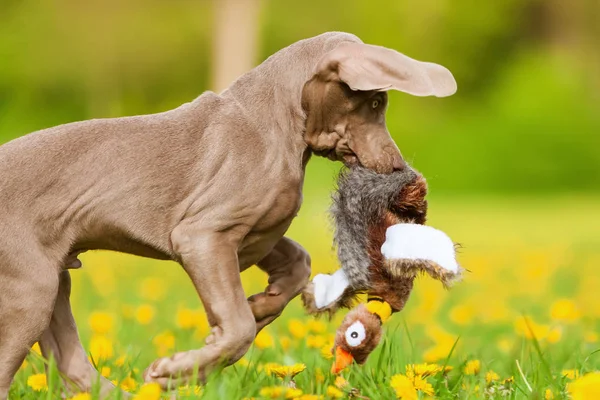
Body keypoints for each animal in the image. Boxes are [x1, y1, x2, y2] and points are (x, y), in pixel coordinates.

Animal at [0, 32, 454, 396]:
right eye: (375, 101)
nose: (398, 169)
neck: (279, 122)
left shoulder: (257, 233)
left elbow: (299, 262)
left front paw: (261, 305)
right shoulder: (203, 234)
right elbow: (237, 328)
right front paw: (178, 371)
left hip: (53, 279)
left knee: (72, 363)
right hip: (31, 287)